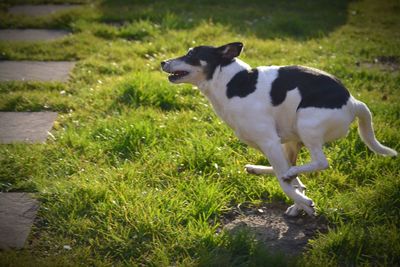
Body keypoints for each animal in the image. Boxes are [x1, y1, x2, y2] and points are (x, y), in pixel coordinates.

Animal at [160, 42, 396, 218]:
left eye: (191, 54)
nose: (162, 62)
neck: (229, 82)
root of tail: (354, 102)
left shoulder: (269, 142)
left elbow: (285, 183)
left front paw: (304, 201)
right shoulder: (270, 144)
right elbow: (287, 178)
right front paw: (301, 200)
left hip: (306, 122)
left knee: (318, 163)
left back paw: (293, 186)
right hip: (292, 139)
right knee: (290, 169)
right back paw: (265, 173)